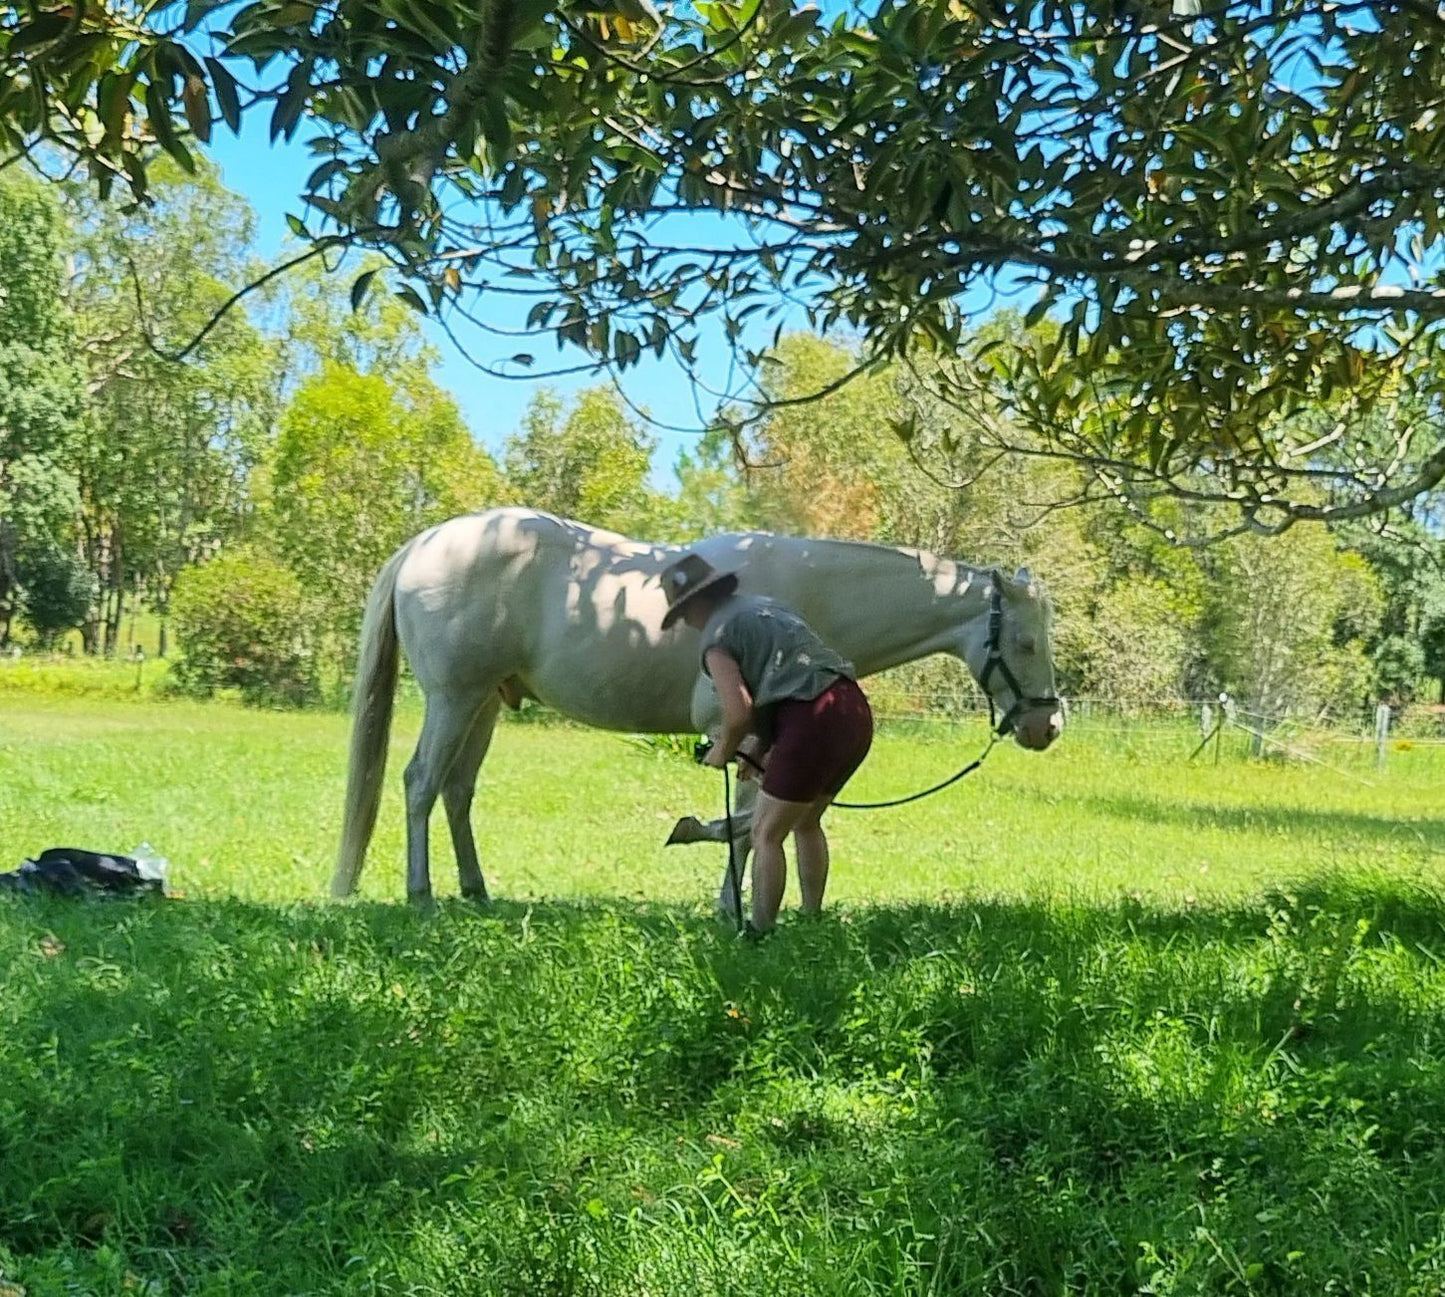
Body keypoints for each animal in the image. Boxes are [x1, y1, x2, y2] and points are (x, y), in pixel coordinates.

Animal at [332, 505, 1069, 901]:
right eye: (1026, 641)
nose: (1048, 724)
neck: (806, 597)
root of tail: (424, 544)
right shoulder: (738, 731)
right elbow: (746, 822)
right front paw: (725, 903)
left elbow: (753, 822)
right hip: (453, 700)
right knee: (421, 783)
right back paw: (422, 895)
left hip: (484, 704)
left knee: (457, 791)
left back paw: (476, 891)